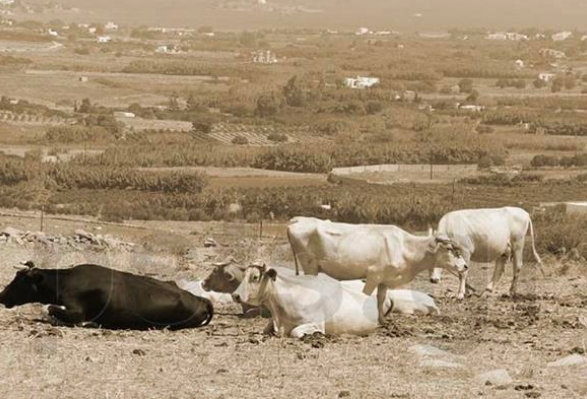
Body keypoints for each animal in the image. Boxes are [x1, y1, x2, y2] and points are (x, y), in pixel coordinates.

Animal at [286, 217, 468, 324]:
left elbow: (380, 299)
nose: (465, 266)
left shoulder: (384, 279)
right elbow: (366, 297)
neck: (405, 247)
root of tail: (298, 219)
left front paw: (382, 321)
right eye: (450, 249)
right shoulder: (373, 275)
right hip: (309, 265)